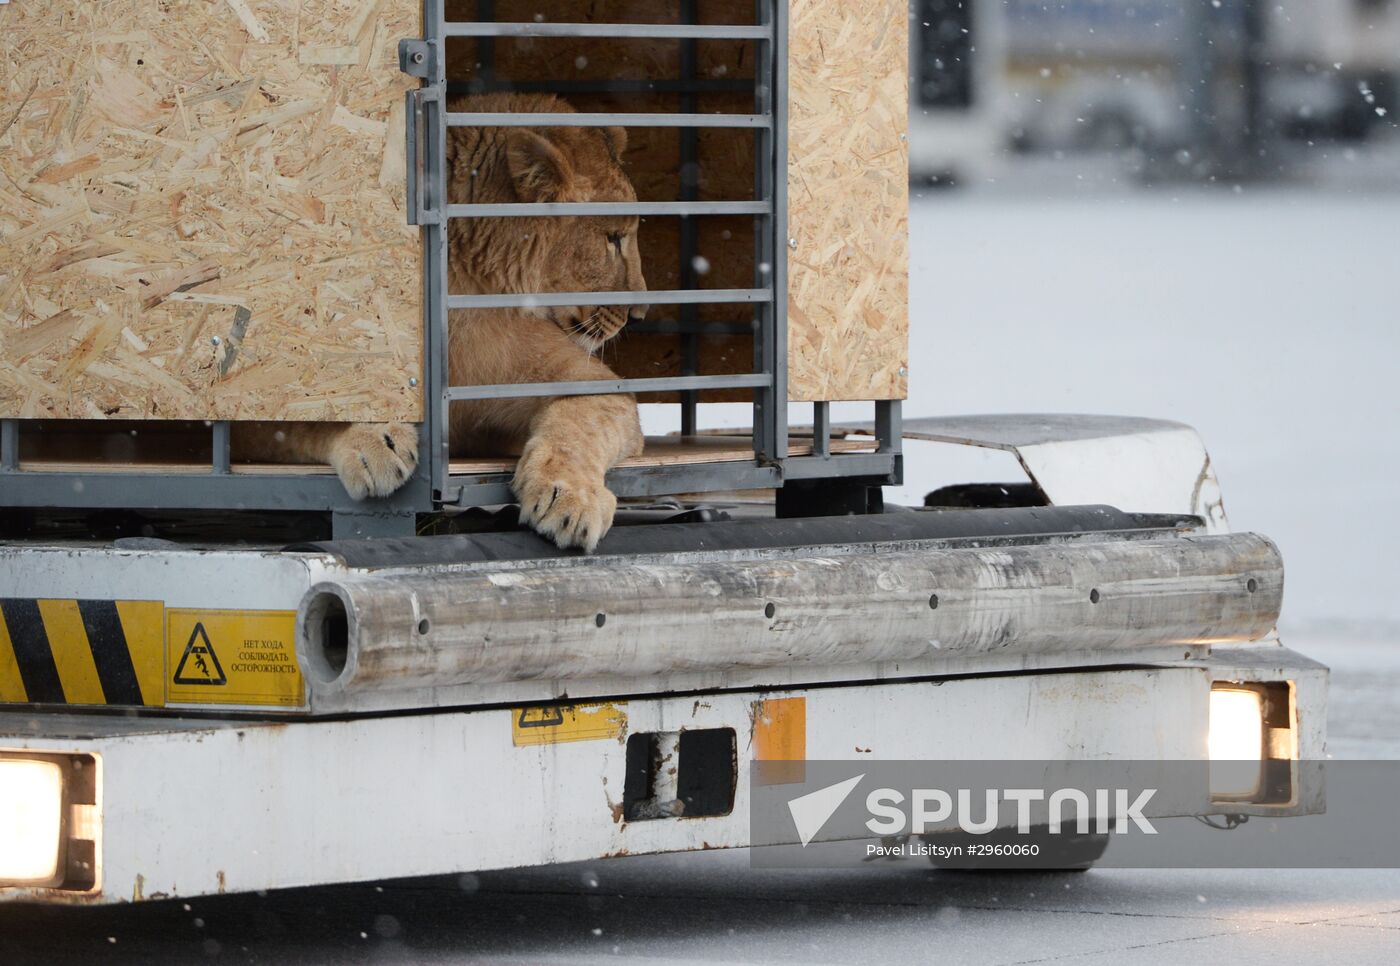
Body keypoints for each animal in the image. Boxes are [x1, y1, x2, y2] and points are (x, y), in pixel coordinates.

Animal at [234, 94, 646, 552]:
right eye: (613, 238)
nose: (640, 314)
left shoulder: (590, 384)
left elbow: (581, 424)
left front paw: (570, 496)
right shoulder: (253, 413)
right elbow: (308, 417)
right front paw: (374, 440)